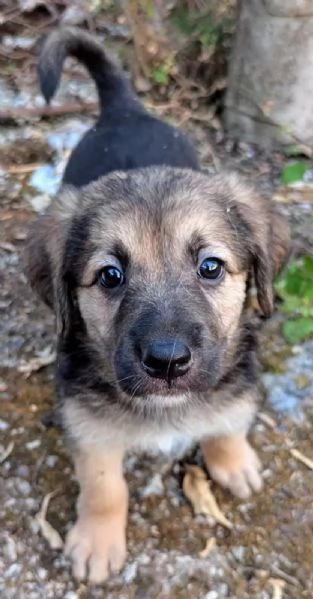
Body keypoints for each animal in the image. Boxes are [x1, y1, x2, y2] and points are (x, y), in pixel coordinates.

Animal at [25, 25, 288, 584]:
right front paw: (97, 541)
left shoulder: (236, 384)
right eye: (110, 276)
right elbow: (104, 486)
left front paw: (234, 462)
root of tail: (125, 109)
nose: (167, 362)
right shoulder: (89, 426)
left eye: (210, 267)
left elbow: (228, 422)